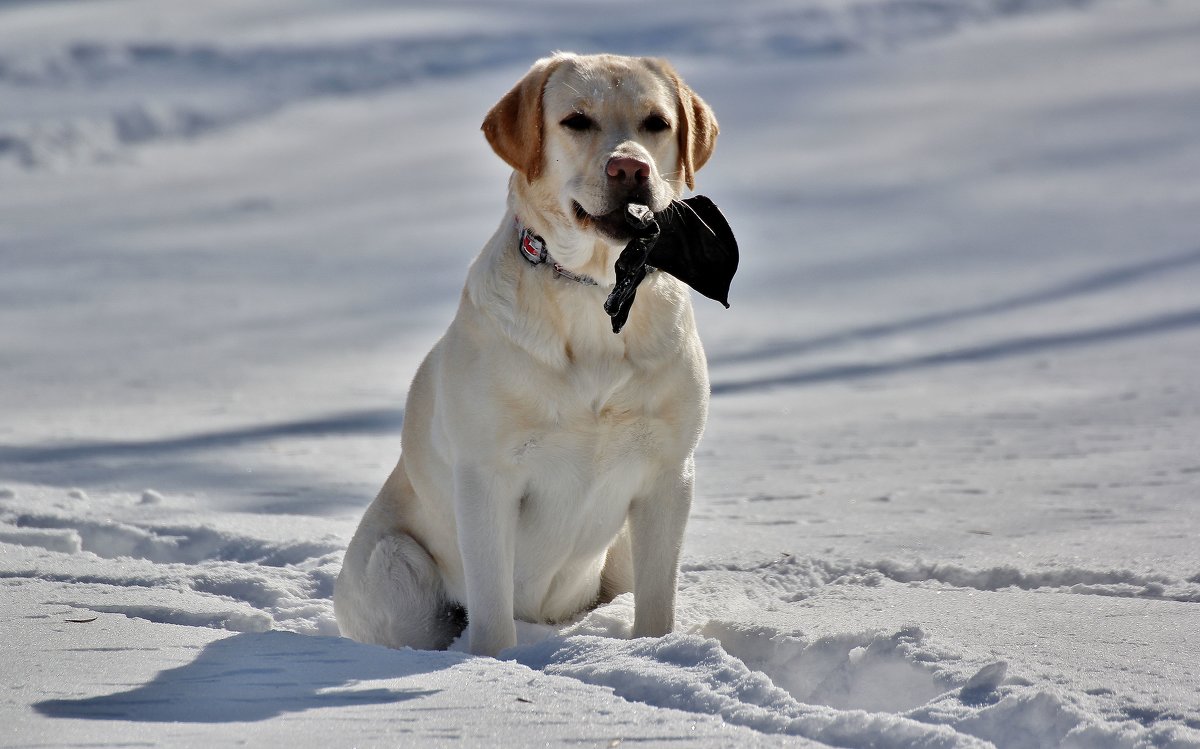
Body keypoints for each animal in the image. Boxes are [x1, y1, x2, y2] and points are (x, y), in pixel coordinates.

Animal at [338, 51, 724, 652]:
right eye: (576, 120)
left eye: (657, 123)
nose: (629, 169)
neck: (595, 290)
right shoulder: (487, 478)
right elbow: (493, 617)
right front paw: (489, 665)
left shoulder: (668, 476)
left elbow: (658, 606)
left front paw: (653, 653)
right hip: (394, 570)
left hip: (621, 551)